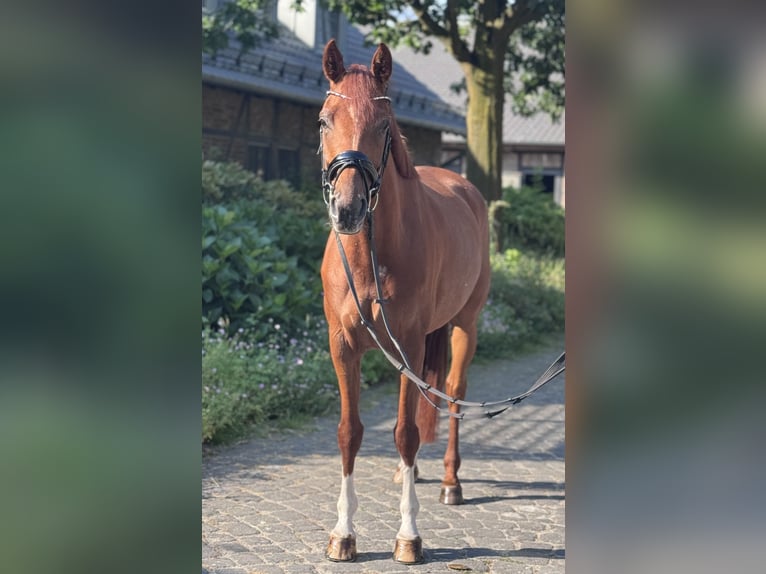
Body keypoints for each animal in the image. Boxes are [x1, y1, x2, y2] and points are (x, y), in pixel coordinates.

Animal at [318, 39, 490, 564]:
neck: (371, 257)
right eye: (324, 120)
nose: (348, 210)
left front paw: (409, 537)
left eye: (383, 126)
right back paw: (405, 472)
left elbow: (405, 432)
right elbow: (350, 432)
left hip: (464, 326)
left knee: (452, 392)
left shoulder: (410, 345)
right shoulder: (342, 347)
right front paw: (343, 535)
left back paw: (451, 483)